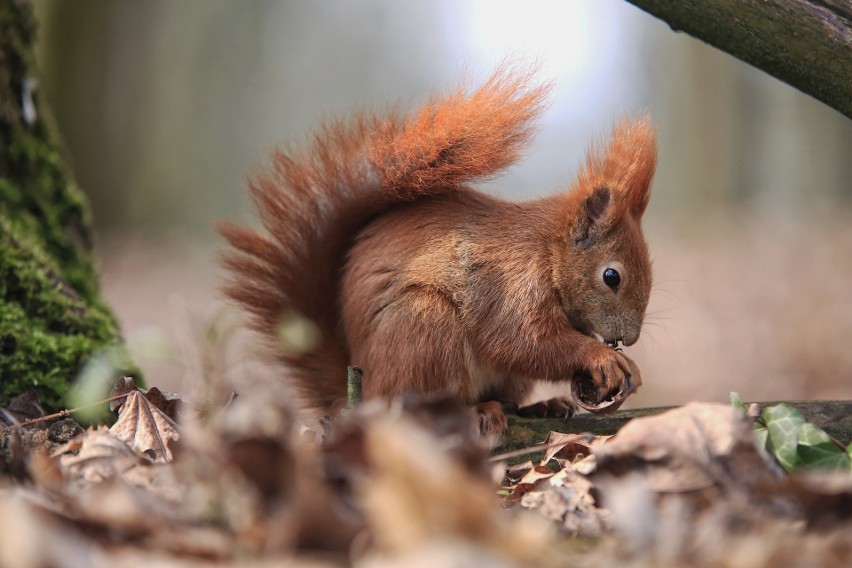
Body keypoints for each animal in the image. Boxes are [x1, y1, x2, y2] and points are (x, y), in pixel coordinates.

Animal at [218, 64, 652, 432]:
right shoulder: (512, 283)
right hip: (424, 325)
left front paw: (628, 366)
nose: (630, 339)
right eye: (611, 276)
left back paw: (540, 406)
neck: (548, 252)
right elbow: (521, 342)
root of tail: (363, 394)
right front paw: (601, 357)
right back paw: (475, 412)